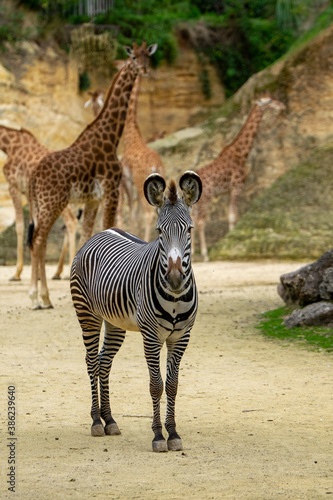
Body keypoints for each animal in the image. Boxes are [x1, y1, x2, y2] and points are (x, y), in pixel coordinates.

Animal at [0, 124, 78, 282]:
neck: (8, 144)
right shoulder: (28, 192)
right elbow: (34, 225)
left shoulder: (14, 187)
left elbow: (20, 226)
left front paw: (17, 273)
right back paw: (57, 272)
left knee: (71, 221)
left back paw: (67, 272)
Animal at [27, 42, 158, 308]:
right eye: (133, 57)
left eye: (147, 56)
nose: (145, 70)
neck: (111, 138)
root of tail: (33, 177)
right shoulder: (111, 191)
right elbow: (108, 229)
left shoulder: (92, 199)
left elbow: (88, 236)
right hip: (52, 203)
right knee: (38, 240)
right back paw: (39, 297)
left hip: (42, 205)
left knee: (39, 241)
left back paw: (41, 296)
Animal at [68, 170, 201, 452]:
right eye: (159, 231)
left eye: (189, 230)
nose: (175, 278)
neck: (175, 296)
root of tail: (101, 232)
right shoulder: (151, 337)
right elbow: (156, 385)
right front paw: (159, 436)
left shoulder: (181, 337)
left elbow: (172, 385)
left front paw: (173, 434)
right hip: (88, 316)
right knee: (91, 361)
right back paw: (96, 421)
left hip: (115, 322)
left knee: (104, 362)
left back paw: (109, 420)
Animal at [193, 95, 284, 264]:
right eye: (270, 101)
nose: (282, 106)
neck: (242, 153)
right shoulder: (237, 187)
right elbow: (233, 217)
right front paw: (229, 245)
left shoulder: (229, 191)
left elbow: (231, 216)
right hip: (206, 198)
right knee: (201, 222)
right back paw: (205, 255)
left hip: (196, 202)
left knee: (192, 221)